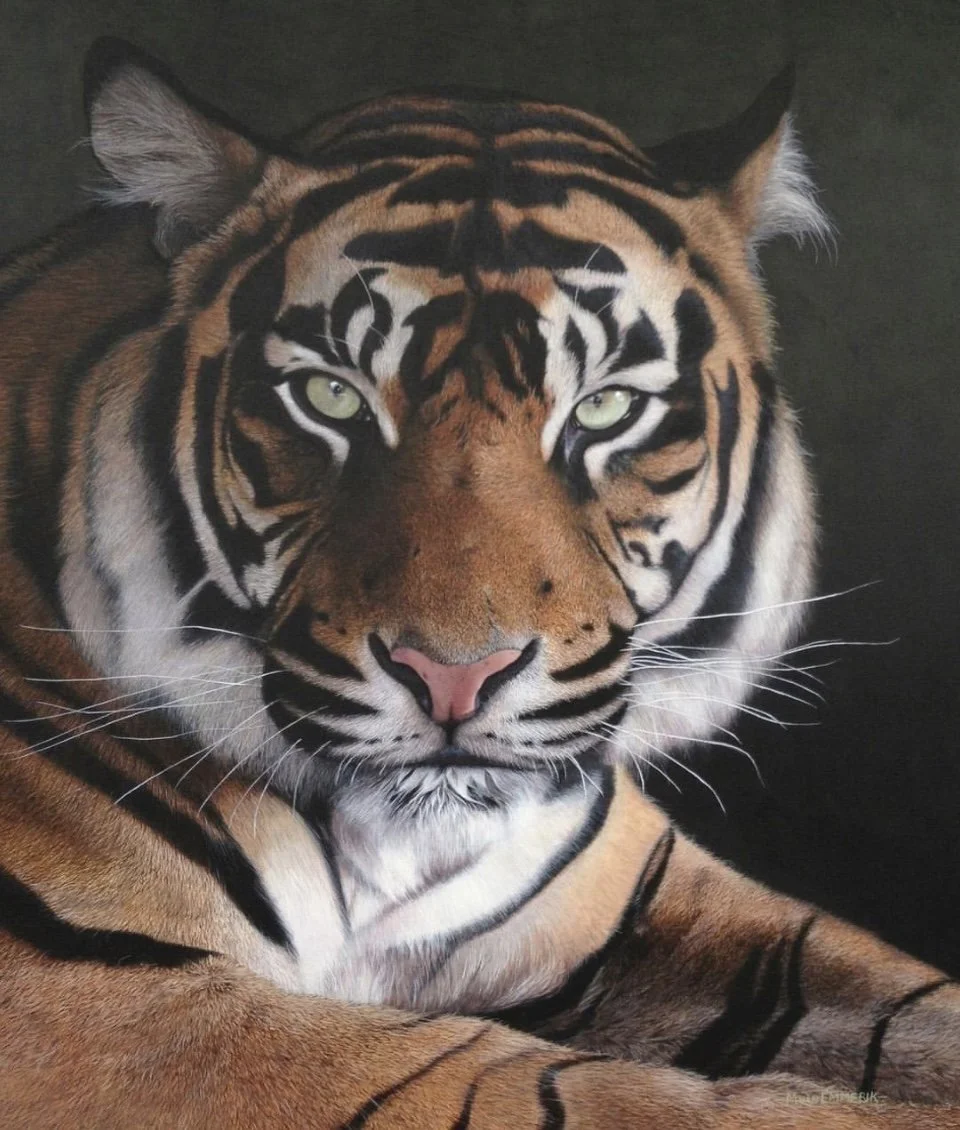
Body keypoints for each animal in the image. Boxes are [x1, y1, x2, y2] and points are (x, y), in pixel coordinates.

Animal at [0, 34, 958, 1128]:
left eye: (608, 406)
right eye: (330, 395)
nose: (454, 676)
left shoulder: (649, 898)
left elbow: (908, 1003)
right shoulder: (116, 994)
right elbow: (597, 1093)